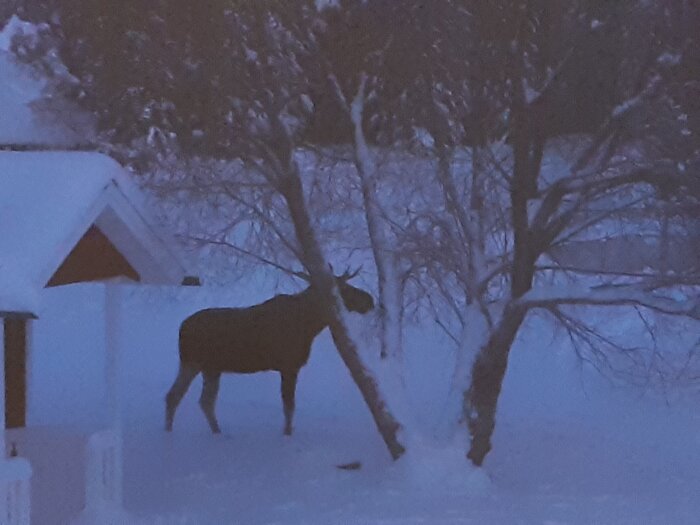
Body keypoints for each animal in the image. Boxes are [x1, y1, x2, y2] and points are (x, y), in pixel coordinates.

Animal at [165, 270, 374, 434]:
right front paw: (287, 433)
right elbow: (289, 406)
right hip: (194, 363)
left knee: (196, 400)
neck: (310, 325)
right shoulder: (289, 365)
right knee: (184, 397)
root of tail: (181, 328)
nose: (369, 300)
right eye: (342, 288)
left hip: (209, 368)